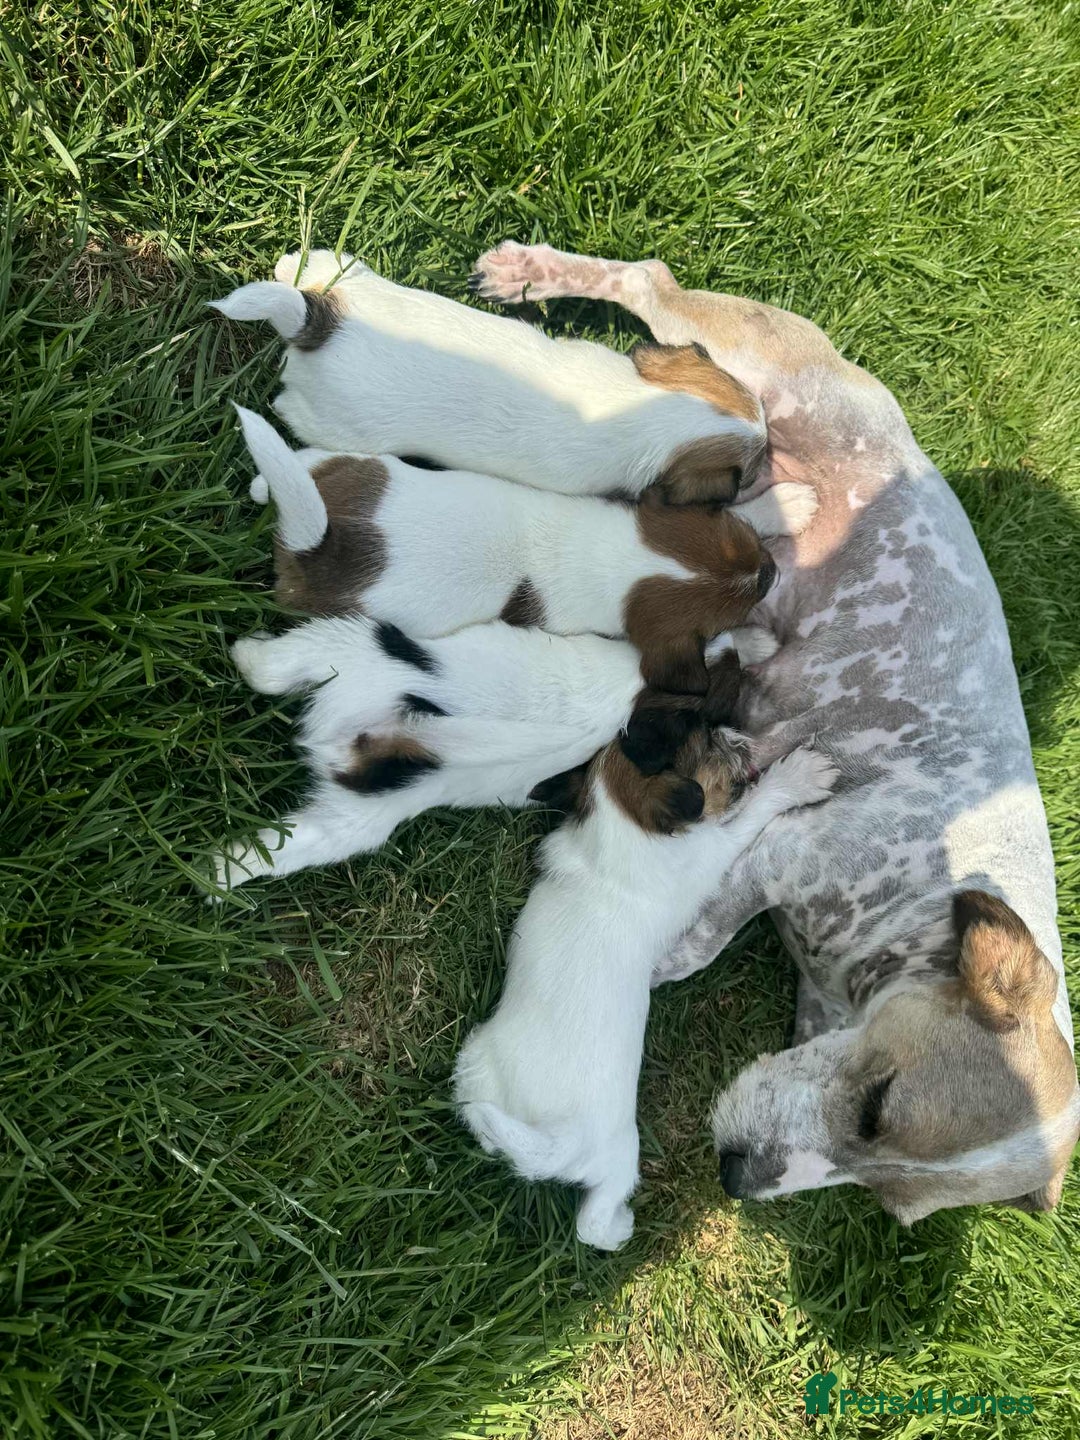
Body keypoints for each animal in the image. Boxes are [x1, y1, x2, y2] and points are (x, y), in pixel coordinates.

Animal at [209, 249, 766, 508]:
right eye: (749, 470)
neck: (636, 407)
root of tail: (318, 324)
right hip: (334, 425)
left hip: (363, 291)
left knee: (329, 277)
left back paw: (301, 267)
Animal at [234, 405, 818, 692]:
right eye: (733, 612)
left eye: (743, 544)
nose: (771, 572)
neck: (616, 559)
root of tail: (320, 548)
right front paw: (756, 643)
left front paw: (786, 503)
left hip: (351, 468)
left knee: (293, 469)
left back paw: (265, 485)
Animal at [454, 655, 838, 1249]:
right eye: (709, 739)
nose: (739, 736)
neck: (619, 822)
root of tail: (554, 1141)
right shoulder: (714, 848)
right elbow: (751, 814)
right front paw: (798, 776)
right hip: (618, 1154)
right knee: (594, 1219)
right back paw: (621, 1229)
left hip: (473, 1072)